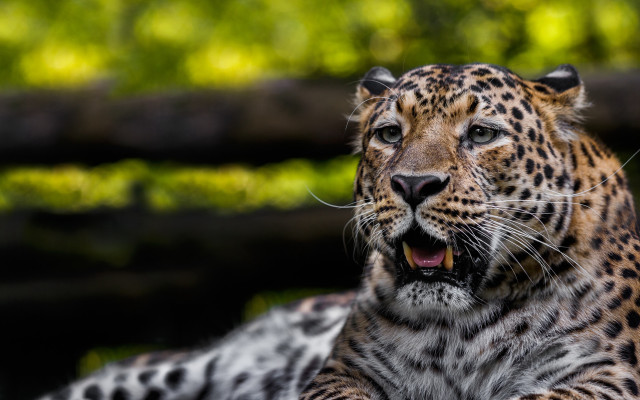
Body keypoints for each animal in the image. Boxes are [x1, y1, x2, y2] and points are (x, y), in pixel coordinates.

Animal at [38, 63, 640, 400]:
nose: (414, 184)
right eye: (390, 133)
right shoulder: (342, 374)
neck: (459, 330)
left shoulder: (609, 375)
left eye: (482, 133)